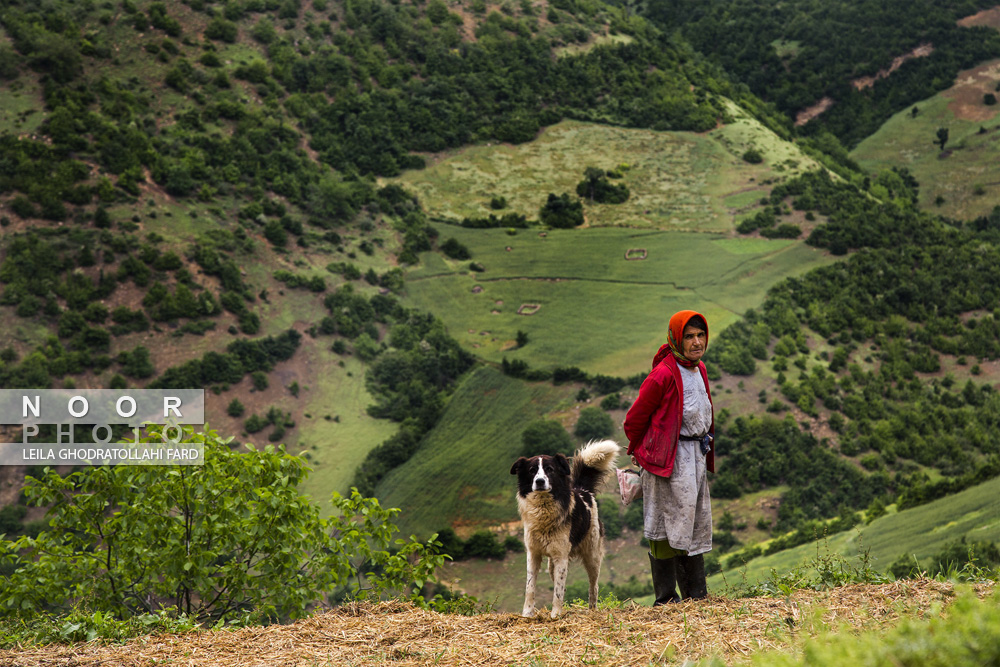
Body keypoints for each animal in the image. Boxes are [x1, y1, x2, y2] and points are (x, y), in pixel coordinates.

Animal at [512, 440, 620, 620]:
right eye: (532, 470)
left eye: (549, 469)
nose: (539, 481)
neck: (543, 508)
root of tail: (583, 491)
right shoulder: (533, 554)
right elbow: (530, 587)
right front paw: (527, 614)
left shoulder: (561, 556)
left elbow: (558, 591)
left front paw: (555, 614)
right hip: (552, 565)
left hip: (592, 555)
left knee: (593, 586)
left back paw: (592, 610)